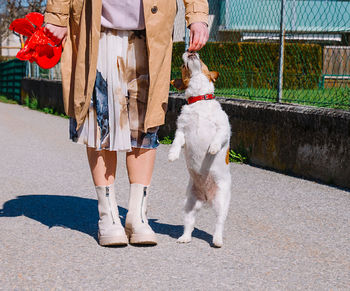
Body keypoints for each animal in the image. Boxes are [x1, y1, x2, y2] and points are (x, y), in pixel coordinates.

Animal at [168, 51, 231, 248]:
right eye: (182, 66)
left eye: (202, 61)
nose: (191, 50)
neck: (199, 101)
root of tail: (206, 199)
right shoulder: (182, 130)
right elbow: (176, 141)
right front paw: (172, 154)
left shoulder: (223, 128)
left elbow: (218, 137)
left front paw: (213, 148)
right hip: (189, 203)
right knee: (190, 223)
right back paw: (185, 237)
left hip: (221, 201)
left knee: (219, 223)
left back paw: (217, 240)